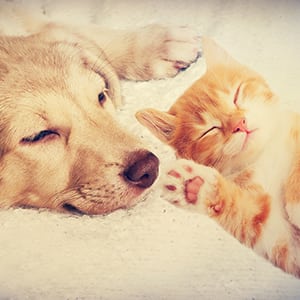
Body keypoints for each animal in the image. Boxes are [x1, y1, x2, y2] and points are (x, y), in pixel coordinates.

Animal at [136, 37, 300, 278]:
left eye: (236, 95)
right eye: (210, 130)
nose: (240, 123)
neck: (266, 151)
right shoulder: (285, 244)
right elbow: (250, 218)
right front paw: (195, 186)